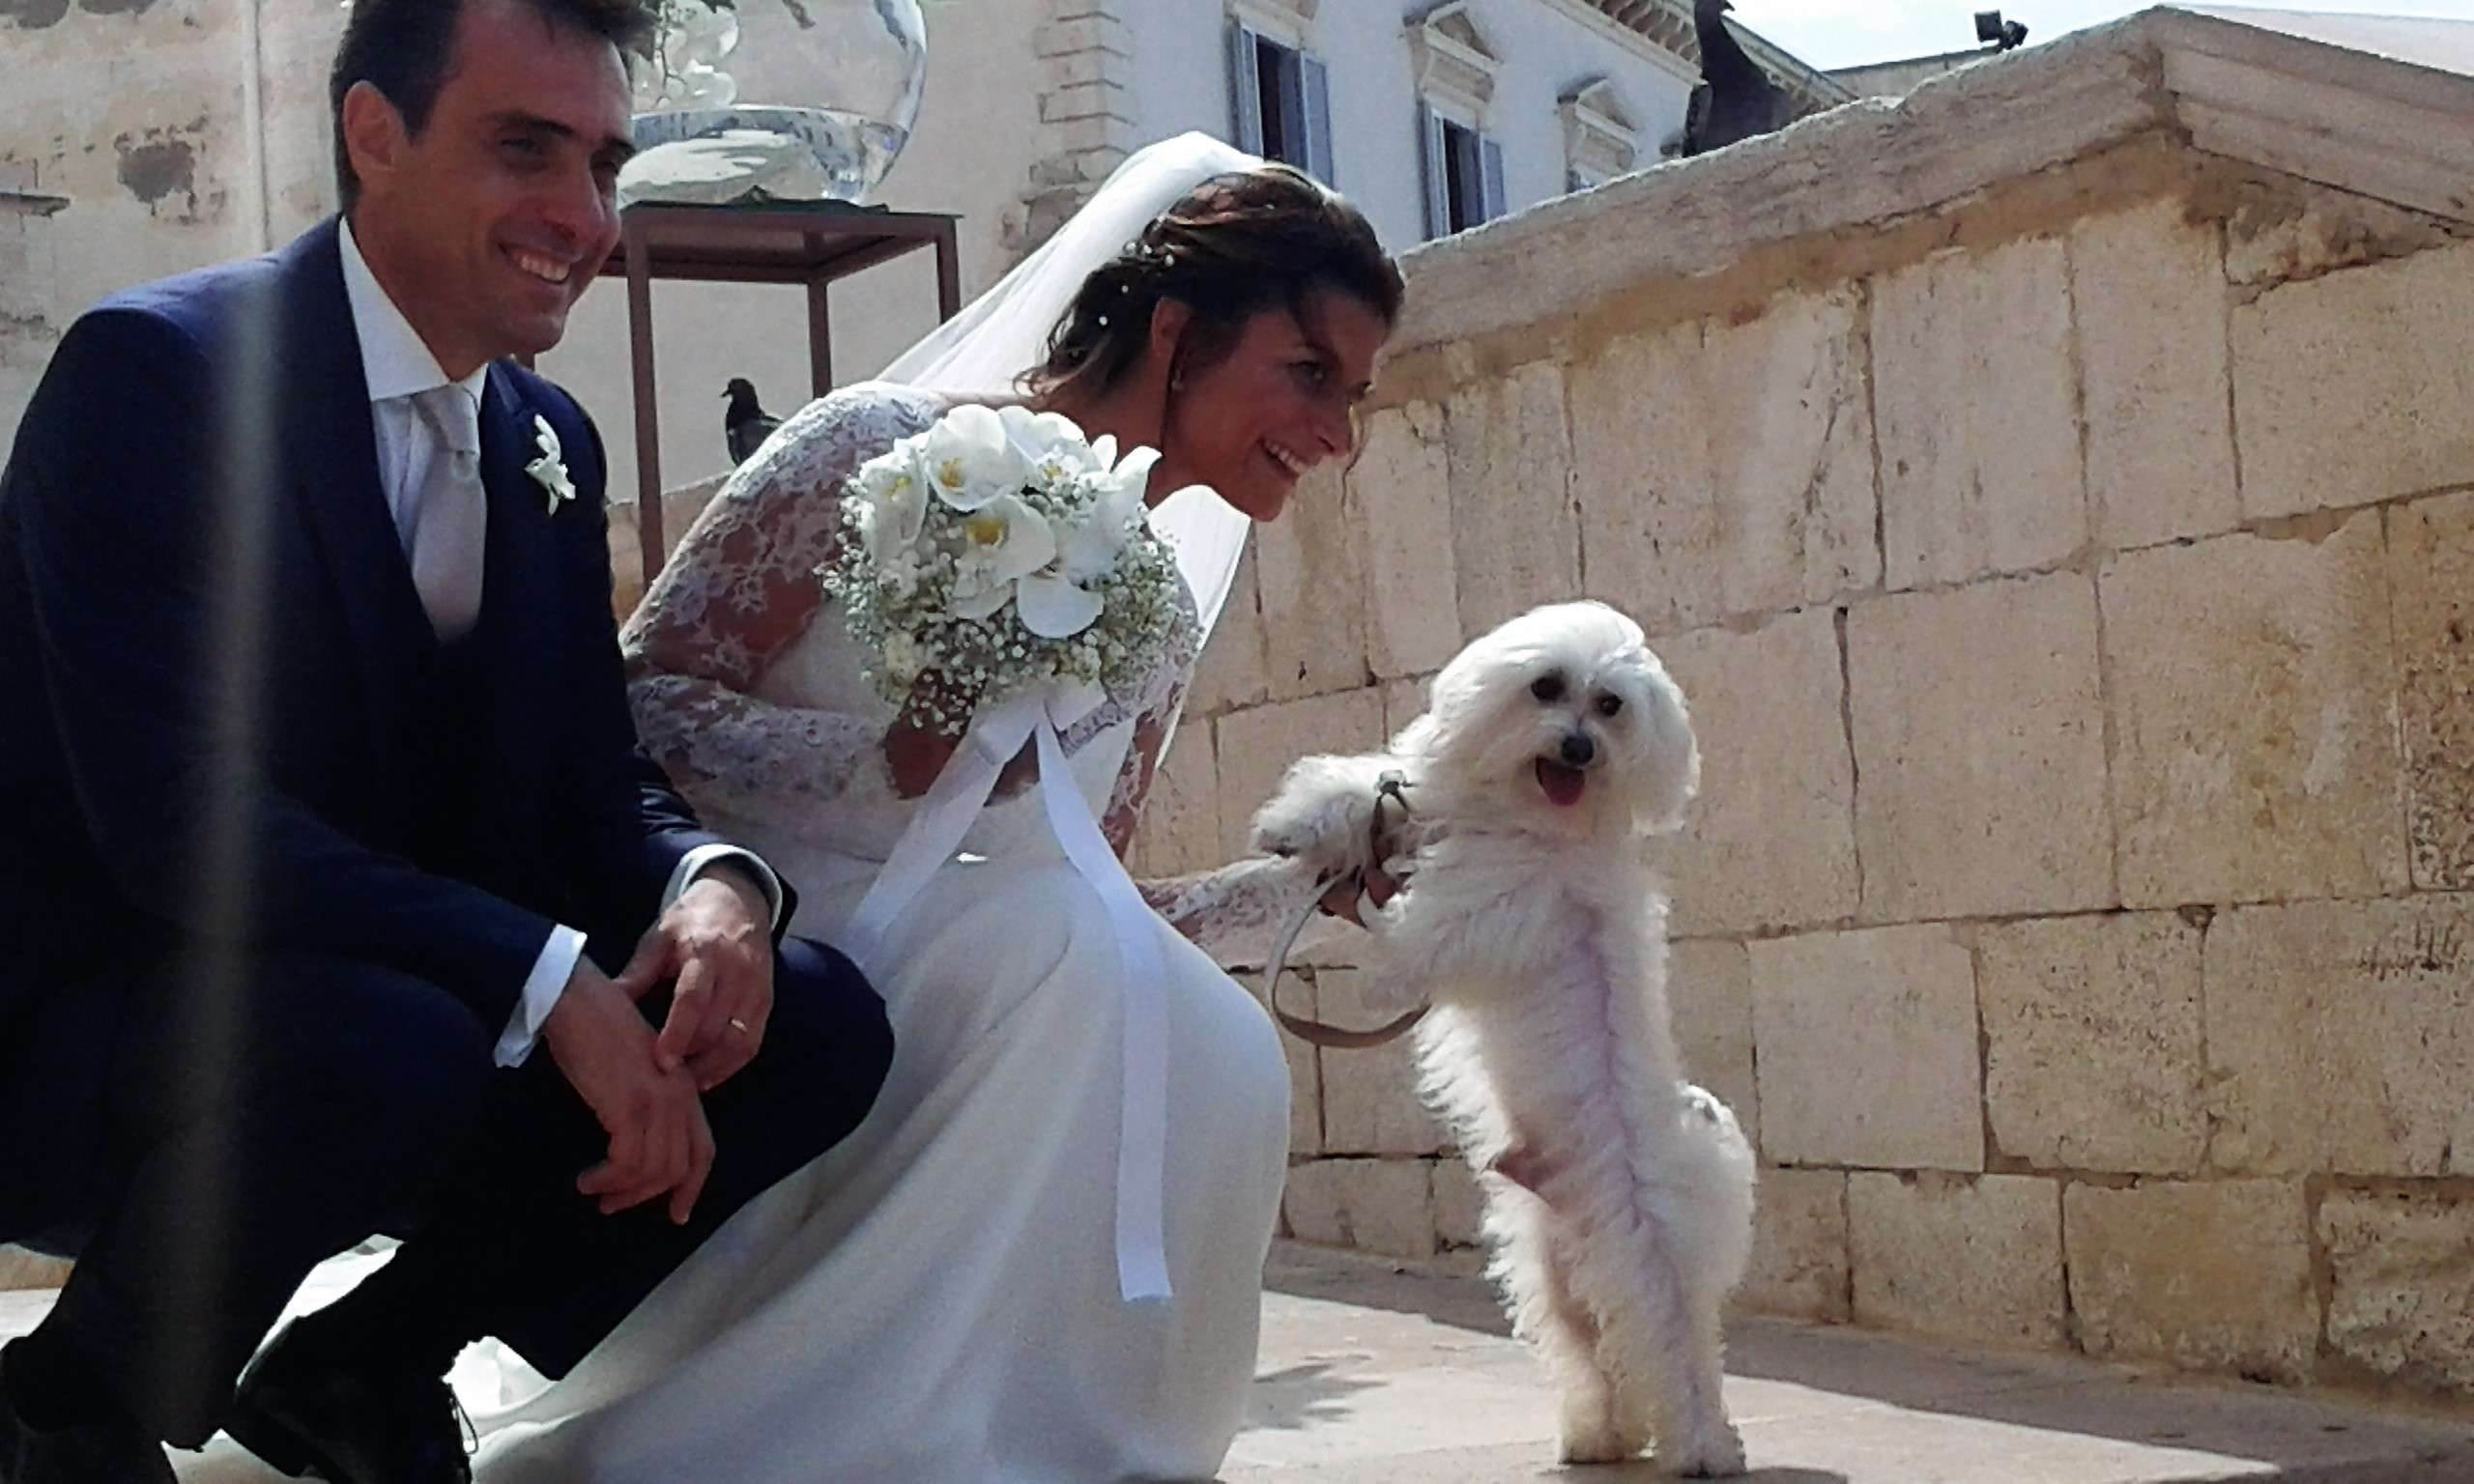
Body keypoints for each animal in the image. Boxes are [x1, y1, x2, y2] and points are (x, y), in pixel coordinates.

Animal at [1253, 600, 1756, 1475]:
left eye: (1612, 706)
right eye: (1547, 687)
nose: (1580, 747)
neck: (1531, 820)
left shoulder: (1473, 919)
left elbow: (1400, 940)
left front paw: (1356, 917)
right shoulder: (1429, 810)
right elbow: (1374, 793)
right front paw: (1300, 822)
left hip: (1651, 1259)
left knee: (1678, 1351)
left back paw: (1703, 1449)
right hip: (1555, 1268)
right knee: (1597, 1355)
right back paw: (1598, 1438)